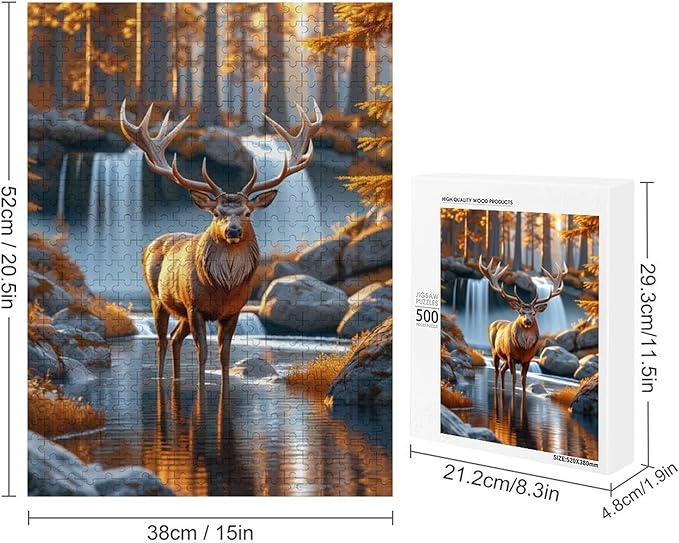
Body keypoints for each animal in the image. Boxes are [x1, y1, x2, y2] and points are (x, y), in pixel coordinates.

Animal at [120, 98, 322, 380]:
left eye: (247, 212)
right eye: (217, 213)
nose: (233, 231)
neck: (224, 286)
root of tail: (149, 245)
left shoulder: (234, 311)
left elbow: (224, 354)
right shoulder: (195, 307)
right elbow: (203, 352)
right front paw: (201, 387)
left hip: (181, 313)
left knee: (175, 338)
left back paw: (176, 378)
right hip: (158, 298)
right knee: (162, 340)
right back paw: (162, 378)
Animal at [478, 256, 567, 397]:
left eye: (534, 313)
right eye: (520, 312)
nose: (527, 322)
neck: (523, 348)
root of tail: (493, 322)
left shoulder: (527, 360)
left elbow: (524, 379)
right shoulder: (511, 356)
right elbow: (514, 378)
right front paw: (514, 395)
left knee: (502, 370)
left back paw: (503, 389)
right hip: (495, 351)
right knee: (497, 370)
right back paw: (497, 389)